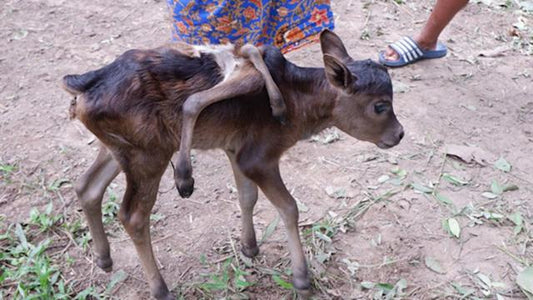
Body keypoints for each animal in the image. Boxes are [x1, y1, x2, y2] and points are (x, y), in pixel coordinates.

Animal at [62, 31, 404, 300]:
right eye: (380, 106)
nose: (399, 134)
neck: (299, 101)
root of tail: (85, 86)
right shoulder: (259, 157)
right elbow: (289, 207)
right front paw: (302, 279)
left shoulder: (234, 148)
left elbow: (246, 196)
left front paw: (249, 247)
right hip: (149, 154)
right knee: (132, 216)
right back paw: (160, 287)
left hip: (122, 148)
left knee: (87, 186)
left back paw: (104, 258)